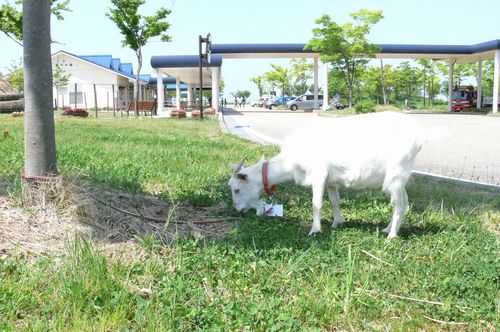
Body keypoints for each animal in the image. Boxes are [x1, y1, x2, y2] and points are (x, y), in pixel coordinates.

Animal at [229, 112, 448, 239]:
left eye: (237, 189)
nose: (238, 210)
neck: (291, 162)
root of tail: (419, 136)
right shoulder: (331, 181)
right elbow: (334, 201)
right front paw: (337, 223)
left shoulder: (318, 175)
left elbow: (316, 203)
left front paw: (315, 230)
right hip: (399, 177)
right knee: (403, 201)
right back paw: (387, 229)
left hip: (396, 173)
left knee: (400, 204)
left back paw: (391, 236)